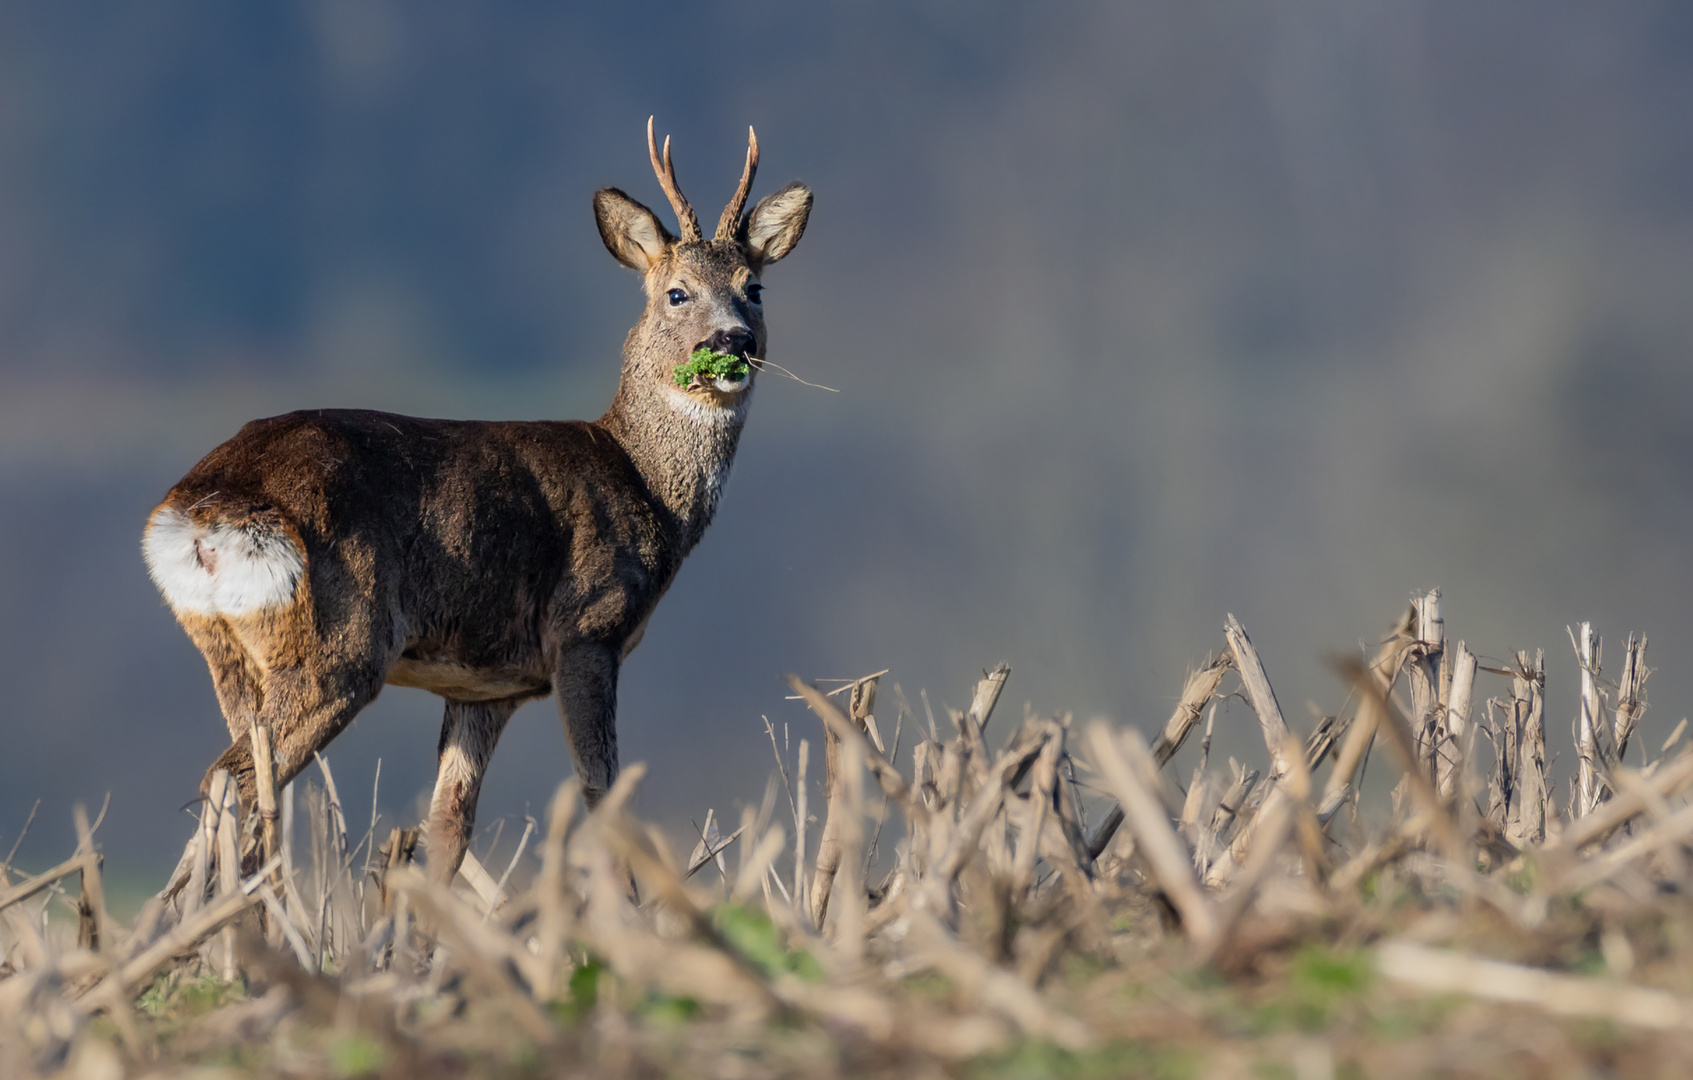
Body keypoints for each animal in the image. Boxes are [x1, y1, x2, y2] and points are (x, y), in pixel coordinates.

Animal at [140, 118, 812, 887]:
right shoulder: (585, 629)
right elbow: (601, 795)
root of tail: (199, 508)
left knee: (241, 788)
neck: (642, 482)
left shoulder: (483, 688)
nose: (732, 342)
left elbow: (447, 829)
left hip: (228, 650)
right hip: (338, 644)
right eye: (676, 292)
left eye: (753, 287)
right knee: (235, 778)